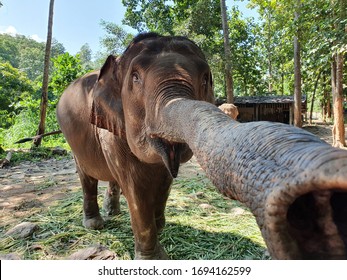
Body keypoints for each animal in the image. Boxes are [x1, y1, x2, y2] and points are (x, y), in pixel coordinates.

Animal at [57, 32, 347, 260]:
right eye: (136, 78)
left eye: (206, 78)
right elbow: (136, 188)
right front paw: (154, 258)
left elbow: (164, 182)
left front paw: (160, 226)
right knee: (86, 177)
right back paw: (95, 224)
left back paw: (114, 213)